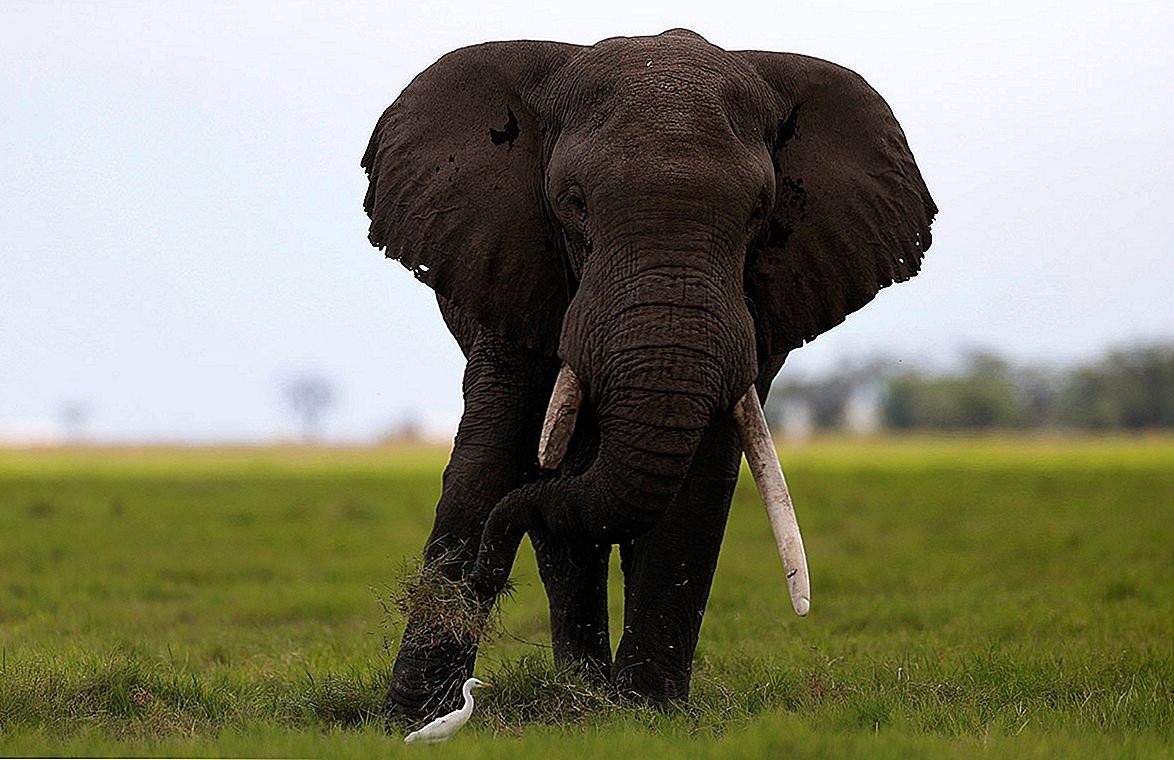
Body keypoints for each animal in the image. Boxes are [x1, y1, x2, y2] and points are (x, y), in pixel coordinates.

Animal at [356, 26, 934, 723]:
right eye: (573, 203)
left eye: (760, 211)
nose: (489, 567)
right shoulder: (508, 264)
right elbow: (495, 451)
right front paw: (414, 718)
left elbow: (697, 477)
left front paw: (647, 714)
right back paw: (577, 689)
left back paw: (589, 693)